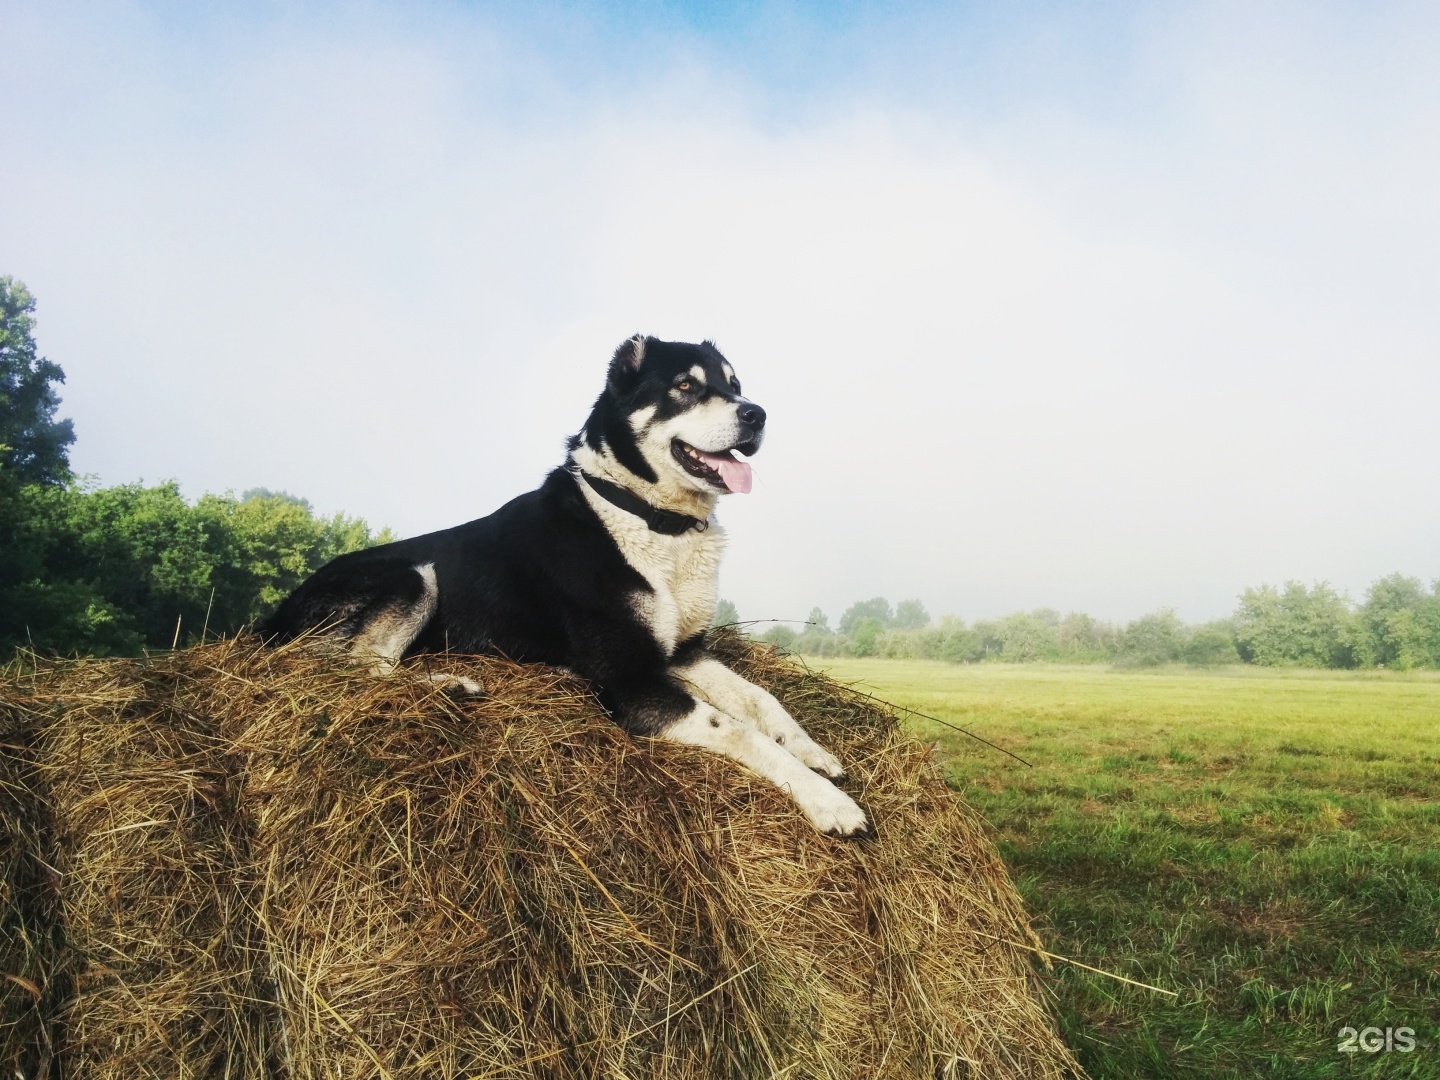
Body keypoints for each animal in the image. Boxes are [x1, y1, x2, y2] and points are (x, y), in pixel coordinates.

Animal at [259, 336, 864, 835]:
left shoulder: (684, 652)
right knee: (359, 665)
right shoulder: (629, 682)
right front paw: (827, 800)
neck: (646, 516)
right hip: (414, 573)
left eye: (734, 385)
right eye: (686, 386)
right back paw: (448, 684)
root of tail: (274, 617)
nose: (756, 414)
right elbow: (739, 729)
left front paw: (814, 751)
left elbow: (761, 699)